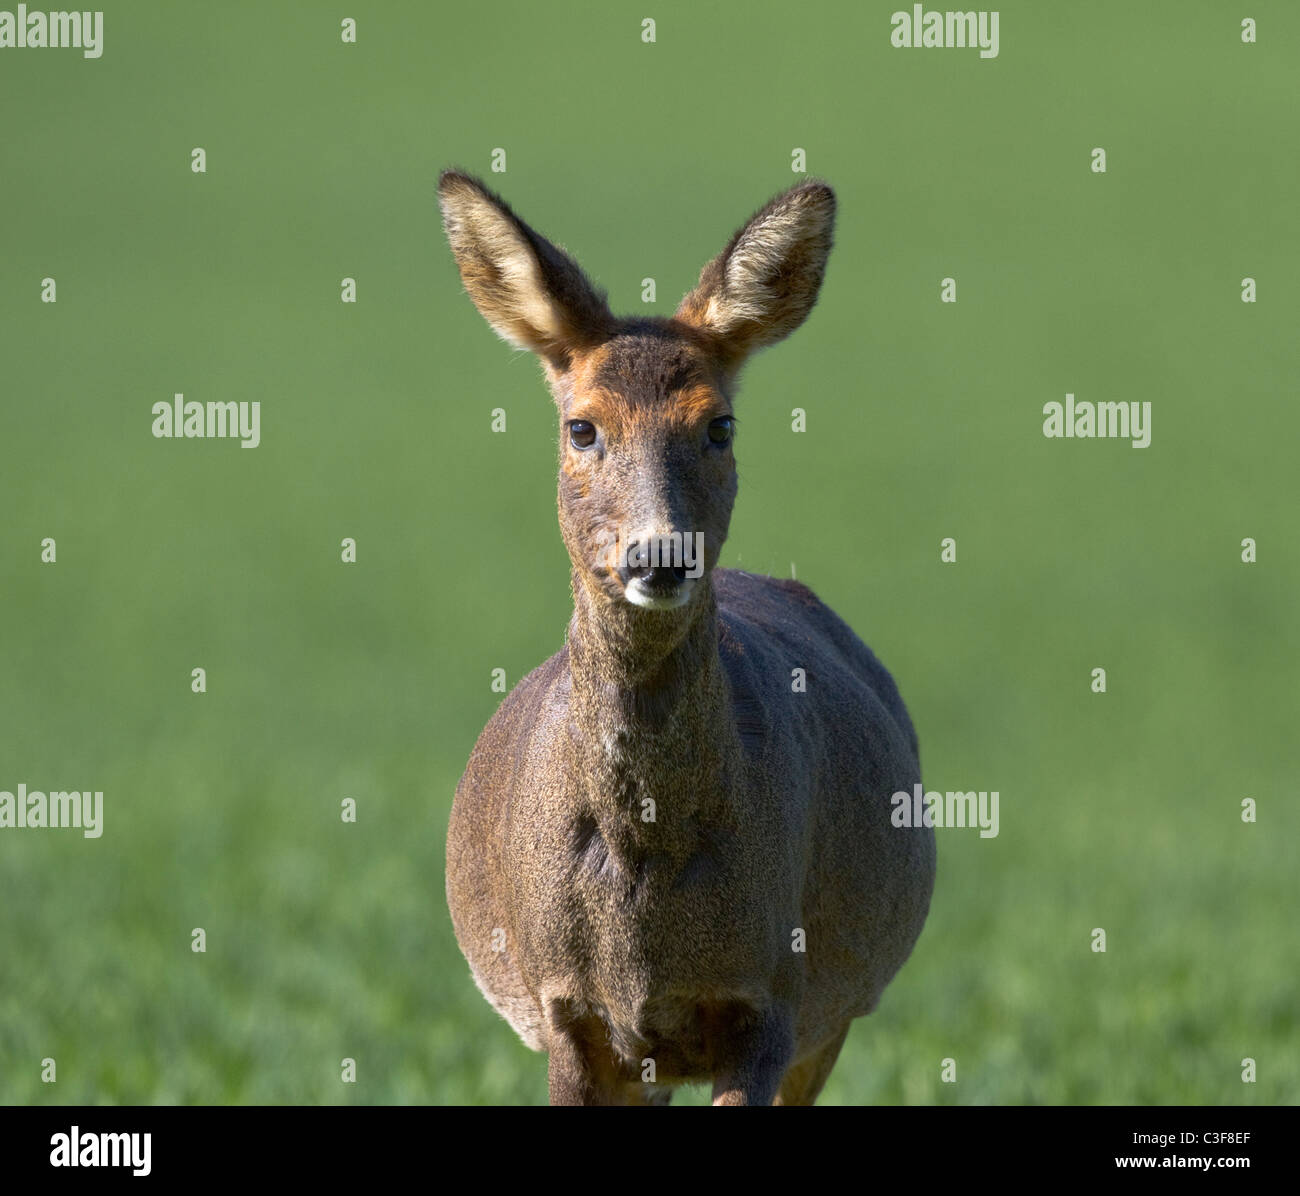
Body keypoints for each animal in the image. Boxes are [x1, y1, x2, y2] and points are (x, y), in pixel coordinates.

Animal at [439, 170, 936, 1105]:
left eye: (720, 426)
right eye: (582, 427)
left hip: (830, 1014)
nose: (660, 554)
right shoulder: (567, 1010)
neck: (646, 859)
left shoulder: (773, 996)